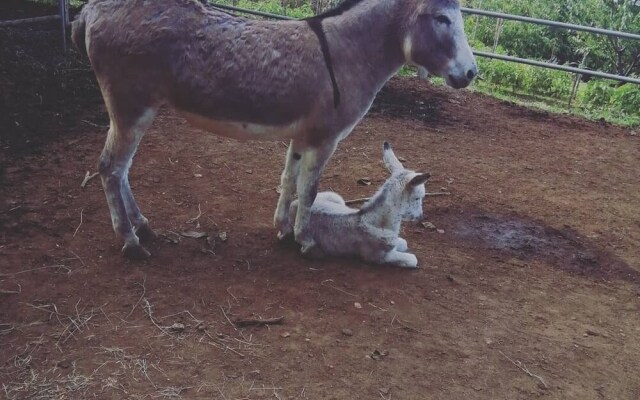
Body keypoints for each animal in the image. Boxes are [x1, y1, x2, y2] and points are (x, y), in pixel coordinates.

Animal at [288, 142, 430, 268]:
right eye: (417, 198)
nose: (420, 217)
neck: (377, 223)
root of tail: (293, 205)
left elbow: (404, 243)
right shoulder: (378, 256)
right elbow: (413, 259)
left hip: (335, 197)